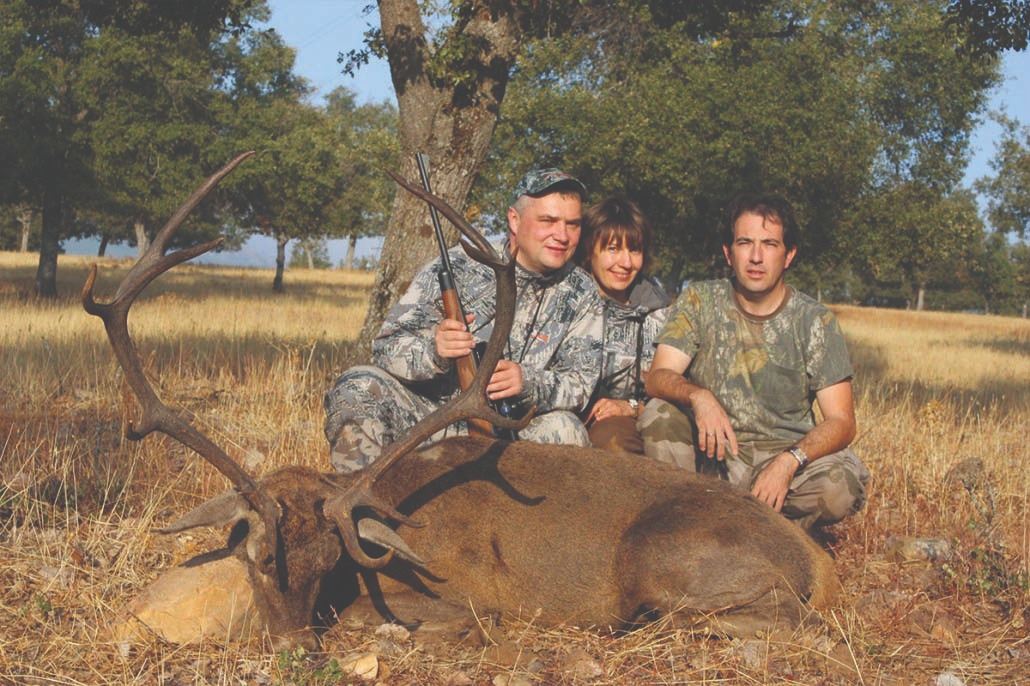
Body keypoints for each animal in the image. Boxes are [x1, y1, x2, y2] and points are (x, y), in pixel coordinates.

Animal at [85, 153, 840, 652]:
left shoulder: (463, 599)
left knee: (780, 618)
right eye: (256, 553)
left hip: (667, 553)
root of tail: (817, 561)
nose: (295, 648)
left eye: (332, 560)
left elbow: (381, 617)